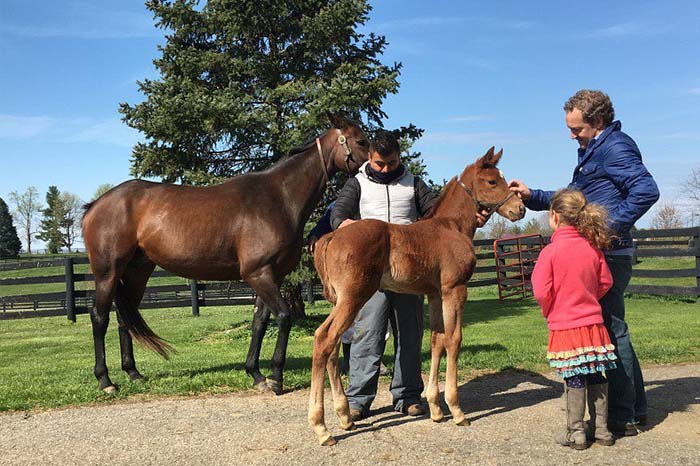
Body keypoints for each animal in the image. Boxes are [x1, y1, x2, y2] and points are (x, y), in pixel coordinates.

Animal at [82, 113, 370, 394]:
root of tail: (96, 205)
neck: (279, 198)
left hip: (137, 272)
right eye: (361, 140)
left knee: (124, 318)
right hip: (107, 273)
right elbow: (284, 317)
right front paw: (276, 377)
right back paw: (105, 380)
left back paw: (133, 373)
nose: (376, 168)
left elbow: (260, 322)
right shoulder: (259, 274)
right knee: (99, 317)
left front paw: (256, 374)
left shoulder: (270, 276)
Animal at [308, 147, 524, 446]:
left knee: (333, 345)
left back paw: (345, 416)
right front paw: (456, 410)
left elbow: (436, 340)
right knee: (324, 338)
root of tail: (329, 238)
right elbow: (454, 340)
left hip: (341, 300)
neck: (452, 226)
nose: (520, 209)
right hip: (354, 297)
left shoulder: (434, 295)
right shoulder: (455, 289)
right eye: (492, 181)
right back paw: (321, 428)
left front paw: (435, 408)